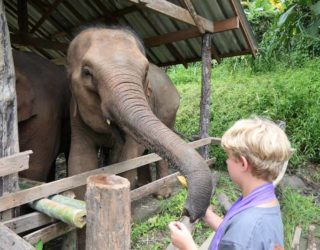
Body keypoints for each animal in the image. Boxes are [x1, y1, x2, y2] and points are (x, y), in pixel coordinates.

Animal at [67, 25, 212, 223]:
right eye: (87, 73)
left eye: (145, 73)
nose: (187, 212)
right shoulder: (76, 117)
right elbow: (79, 161)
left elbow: (130, 155)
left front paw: (128, 218)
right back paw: (144, 184)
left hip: (169, 111)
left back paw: (161, 194)